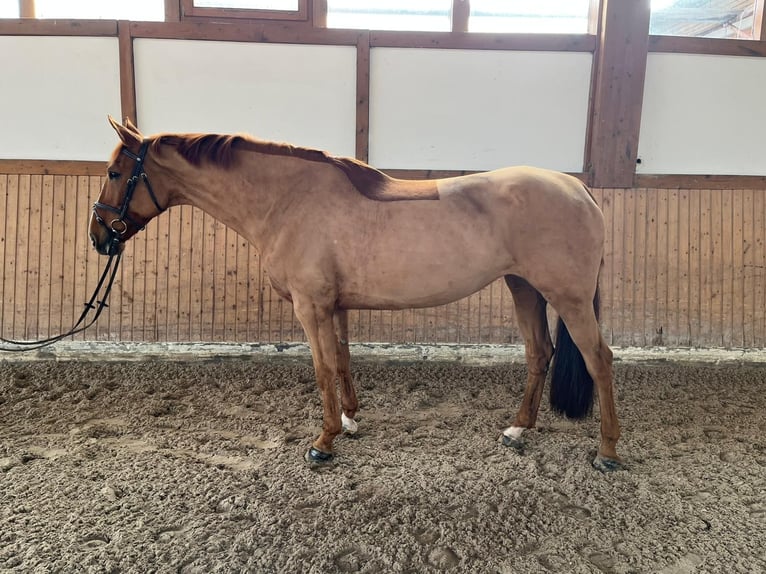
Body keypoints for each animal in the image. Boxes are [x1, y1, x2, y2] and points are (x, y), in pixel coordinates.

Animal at [91, 117, 624, 472]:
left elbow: (322, 367)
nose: (99, 237)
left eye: (116, 173)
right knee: (540, 353)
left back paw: (608, 451)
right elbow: (343, 359)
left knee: (599, 359)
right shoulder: (335, 306)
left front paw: (324, 441)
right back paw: (517, 429)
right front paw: (349, 419)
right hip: (525, 289)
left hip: (568, 298)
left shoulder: (310, 307)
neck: (288, 200)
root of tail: (578, 189)